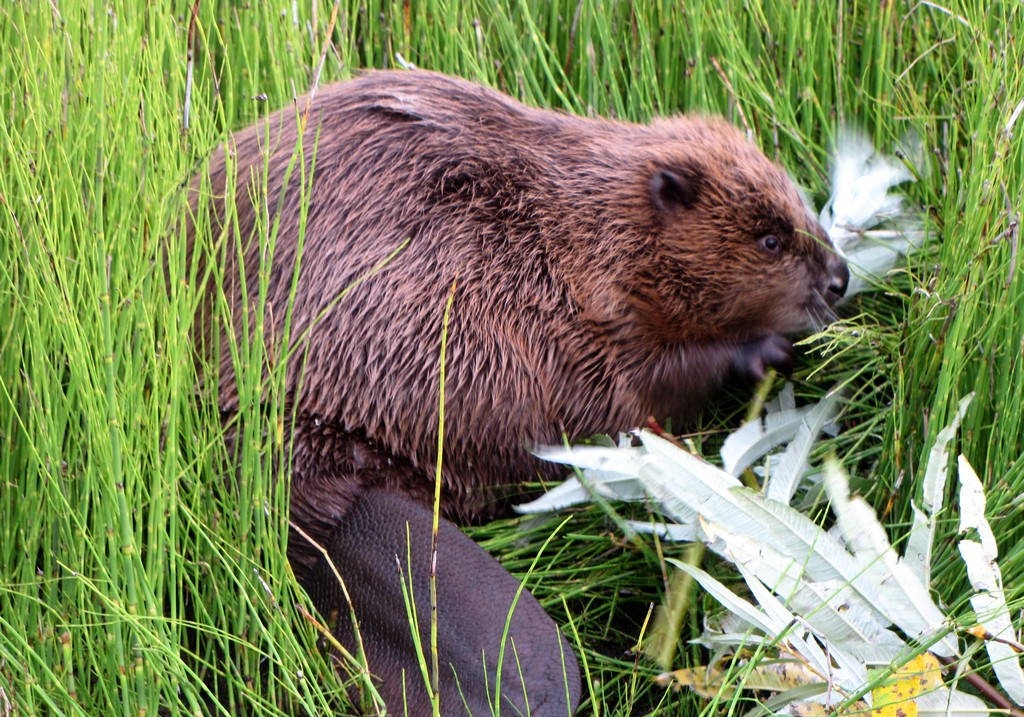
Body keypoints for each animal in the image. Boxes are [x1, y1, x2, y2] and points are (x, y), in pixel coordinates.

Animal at [192, 68, 847, 717]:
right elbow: (647, 385)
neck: (590, 226)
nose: (839, 277)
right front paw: (767, 349)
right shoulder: (584, 318)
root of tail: (332, 509)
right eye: (769, 240)